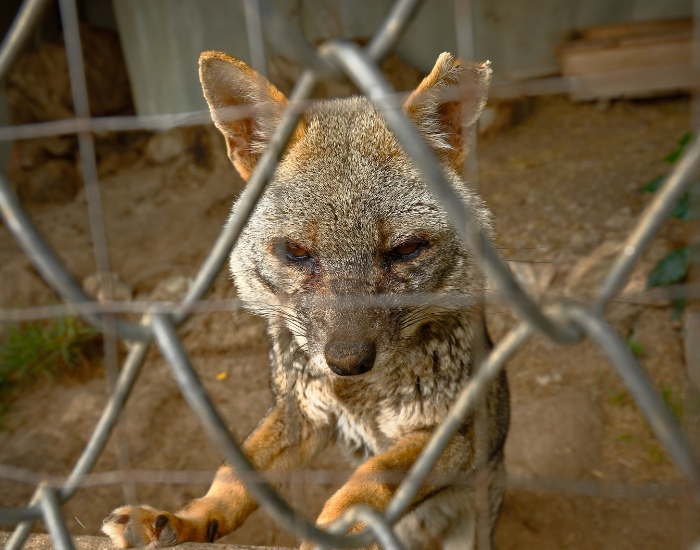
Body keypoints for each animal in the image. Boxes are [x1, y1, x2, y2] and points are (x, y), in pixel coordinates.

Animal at [101, 50, 509, 550]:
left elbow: (371, 476)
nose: (347, 361)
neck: (355, 395)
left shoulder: (454, 432)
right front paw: (186, 519)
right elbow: (234, 474)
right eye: (295, 252)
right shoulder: (303, 409)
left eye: (406, 249)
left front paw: (330, 529)